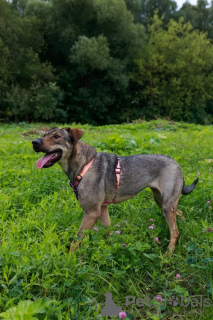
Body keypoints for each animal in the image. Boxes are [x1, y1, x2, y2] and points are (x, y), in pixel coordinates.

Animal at [32, 126, 199, 254]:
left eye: (57, 136)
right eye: (44, 135)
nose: (34, 142)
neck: (84, 165)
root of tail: (176, 164)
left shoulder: (91, 213)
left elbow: (76, 241)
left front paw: (70, 261)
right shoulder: (102, 210)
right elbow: (108, 233)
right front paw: (110, 251)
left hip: (166, 204)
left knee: (175, 232)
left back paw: (168, 255)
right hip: (161, 200)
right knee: (180, 214)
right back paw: (185, 225)